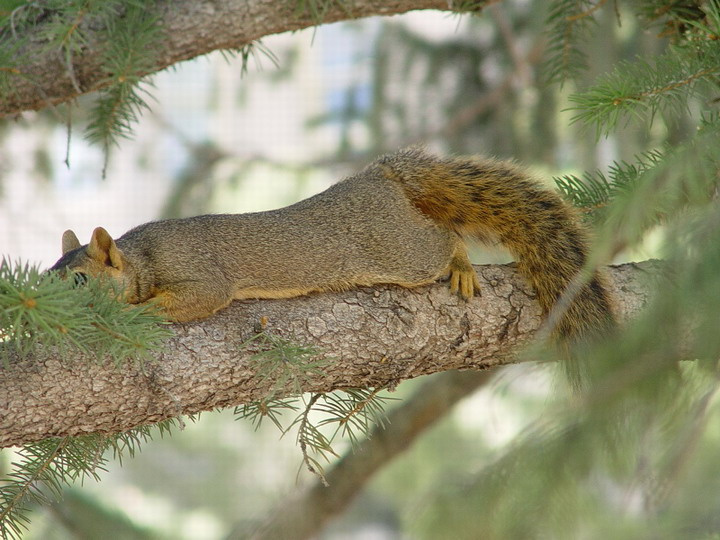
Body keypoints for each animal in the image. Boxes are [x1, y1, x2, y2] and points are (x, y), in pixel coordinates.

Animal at [50, 148, 614, 341]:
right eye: (47, 273)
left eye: (79, 279)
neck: (141, 257)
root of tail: (383, 177)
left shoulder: (200, 272)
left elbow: (196, 298)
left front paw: (133, 312)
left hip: (402, 250)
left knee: (444, 238)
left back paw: (461, 266)